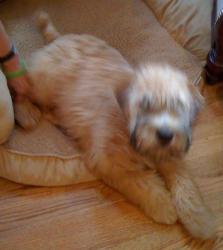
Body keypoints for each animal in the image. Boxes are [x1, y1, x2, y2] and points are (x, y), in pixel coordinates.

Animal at [14, 12, 216, 239]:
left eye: (180, 106)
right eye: (144, 104)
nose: (165, 135)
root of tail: (61, 38)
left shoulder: (170, 155)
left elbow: (185, 183)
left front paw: (200, 218)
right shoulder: (107, 161)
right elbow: (139, 181)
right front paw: (162, 204)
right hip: (44, 82)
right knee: (19, 87)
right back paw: (26, 113)